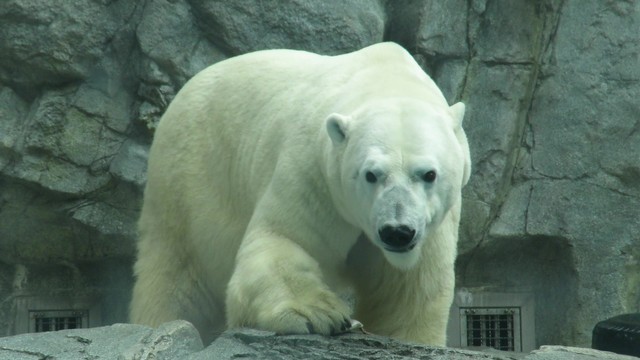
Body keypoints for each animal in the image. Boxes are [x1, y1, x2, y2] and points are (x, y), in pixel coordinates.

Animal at [130, 42, 470, 346]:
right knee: (176, 277)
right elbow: (285, 239)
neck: (385, 76)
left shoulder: (433, 225)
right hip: (190, 179)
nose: (396, 232)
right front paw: (318, 314)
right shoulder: (314, 171)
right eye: (371, 174)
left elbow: (407, 290)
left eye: (428, 174)